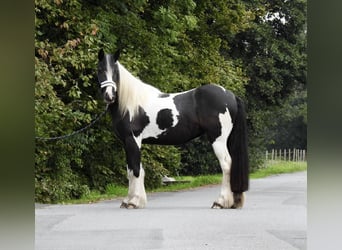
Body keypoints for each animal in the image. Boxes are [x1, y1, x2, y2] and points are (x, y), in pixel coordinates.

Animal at [96, 49, 248, 209]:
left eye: (115, 72)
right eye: (100, 69)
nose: (109, 96)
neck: (131, 104)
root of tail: (230, 95)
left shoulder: (133, 140)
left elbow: (136, 170)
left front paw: (134, 201)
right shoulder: (126, 142)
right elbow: (130, 170)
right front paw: (128, 201)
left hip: (218, 139)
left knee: (226, 165)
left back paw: (220, 202)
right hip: (228, 139)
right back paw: (235, 202)